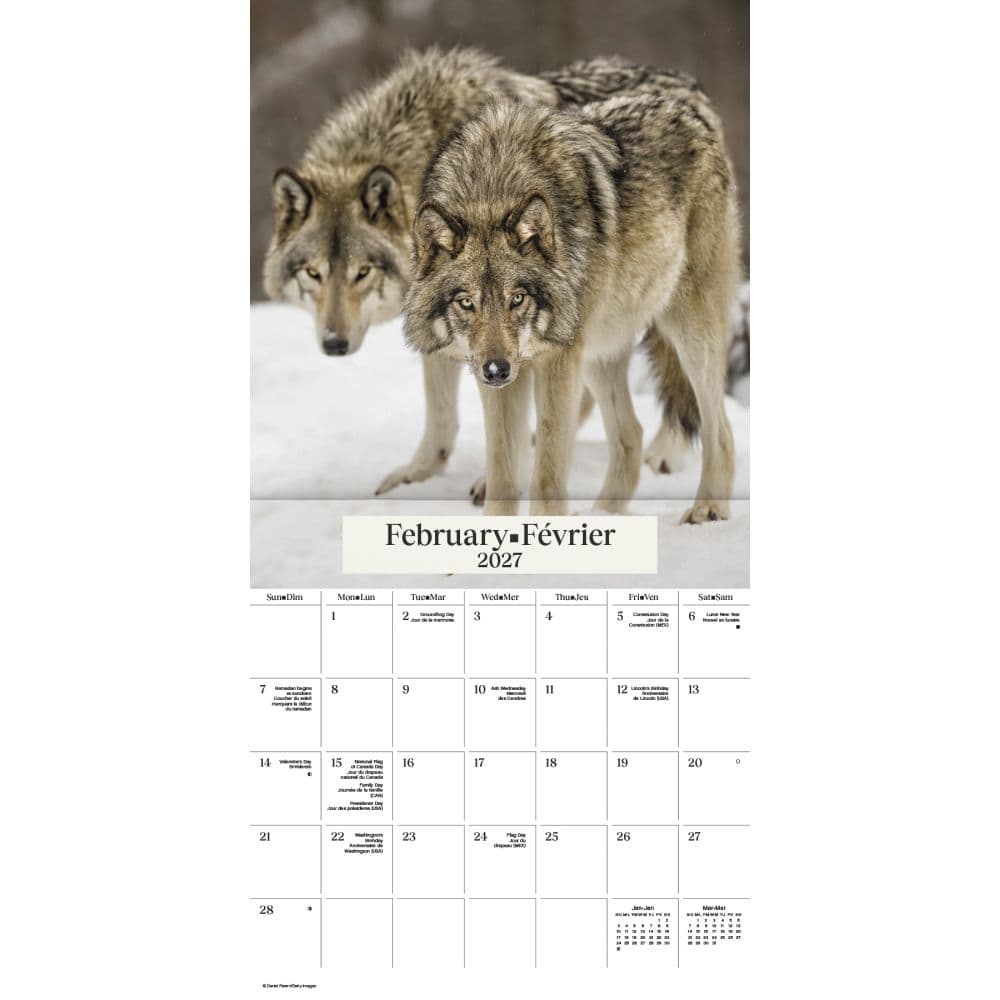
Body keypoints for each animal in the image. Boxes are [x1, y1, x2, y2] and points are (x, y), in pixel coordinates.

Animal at [262, 49, 706, 499]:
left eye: (362, 272)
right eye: (313, 273)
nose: (333, 344)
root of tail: (689, 87)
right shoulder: (447, 323)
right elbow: (440, 410)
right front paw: (418, 472)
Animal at [403, 83, 740, 523]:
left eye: (517, 299)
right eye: (466, 303)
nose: (497, 369)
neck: (493, 192)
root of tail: (689, 108)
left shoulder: (557, 360)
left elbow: (546, 471)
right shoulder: (502, 379)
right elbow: (502, 472)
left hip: (687, 332)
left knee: (720, 429)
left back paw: (707, 509)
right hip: (599, 350)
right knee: (630, 435)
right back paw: (604, 516)